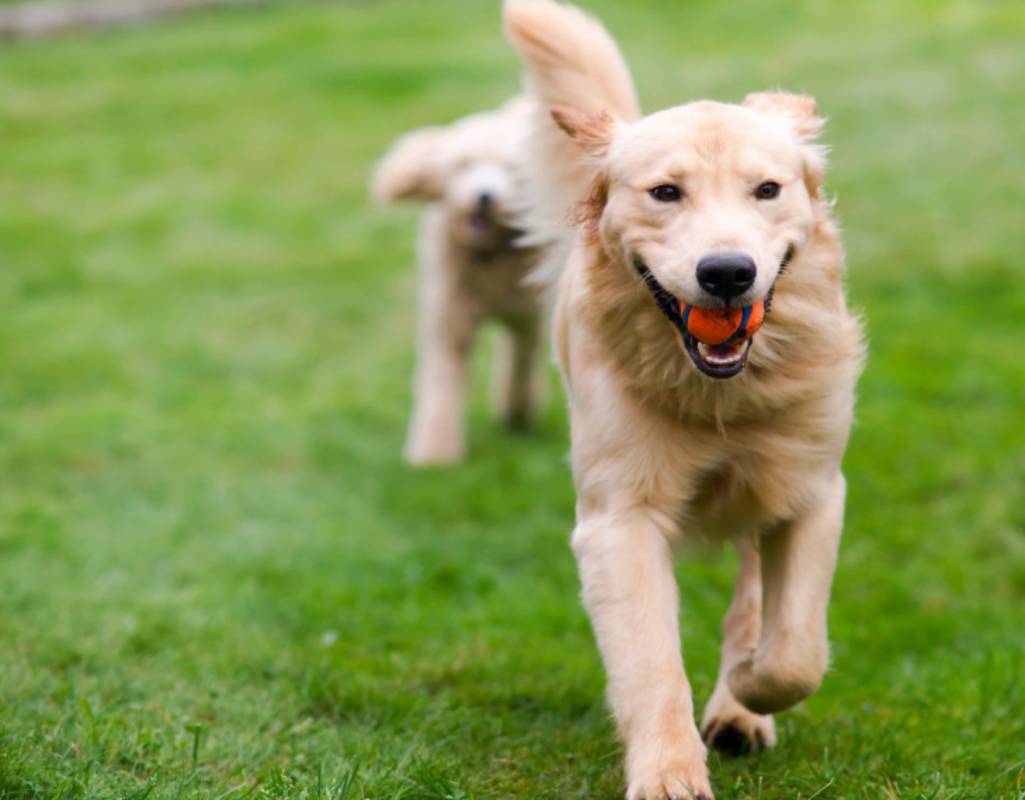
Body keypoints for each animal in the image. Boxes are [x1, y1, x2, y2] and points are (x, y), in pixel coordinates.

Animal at [375, 97, 549, 465]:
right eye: (464, 165)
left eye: (510, 170)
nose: (485, 197)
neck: (488, 256)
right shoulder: (448, 319)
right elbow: (441, 382)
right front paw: (434, 453)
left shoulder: (526, 317)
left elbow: (521, 363)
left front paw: (517, 411)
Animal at [504, 3, 865, 795]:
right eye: (665, 192)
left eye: (767, 190)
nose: (727, 273)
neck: (720, 397)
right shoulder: (618, 520)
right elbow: (651, 665)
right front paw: (668, 771)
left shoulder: (812, 490)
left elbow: (795, 650)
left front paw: (750, 688)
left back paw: (738, 705)